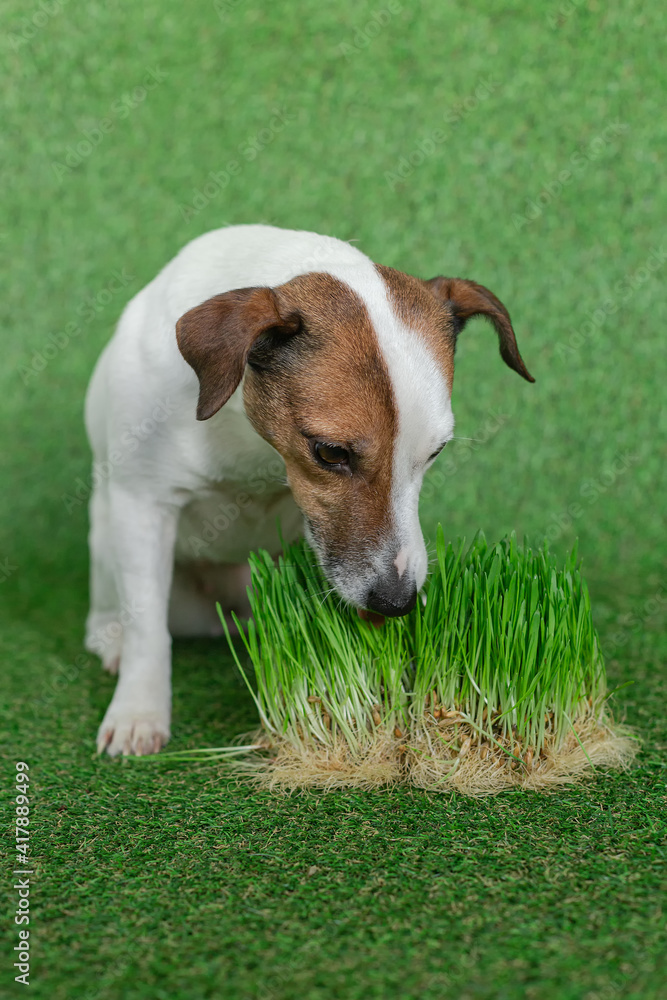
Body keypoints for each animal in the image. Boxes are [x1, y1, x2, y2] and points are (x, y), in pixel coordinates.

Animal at [83, 227, 536, 752]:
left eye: (436, 451)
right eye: (331, 452)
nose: (396, 603)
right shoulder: (142, 504)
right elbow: (147, 627)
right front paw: (139, 711)